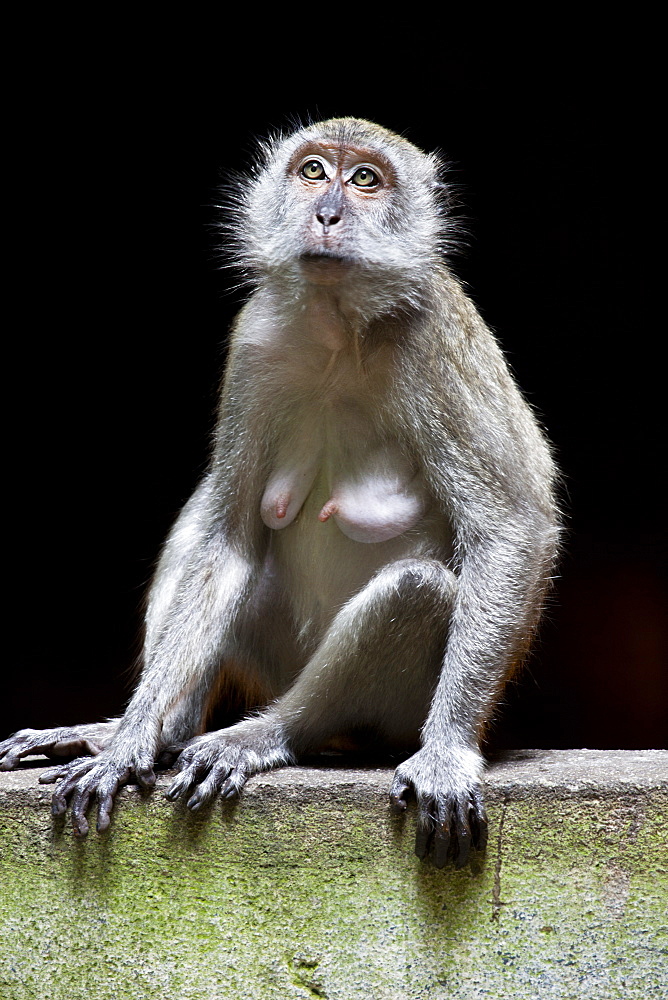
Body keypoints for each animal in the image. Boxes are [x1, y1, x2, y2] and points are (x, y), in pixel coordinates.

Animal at [0, 117, 560, 868]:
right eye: (314, 171)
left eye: (365, 180)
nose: (327, 214)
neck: (338, 326)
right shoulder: (255, 340)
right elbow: (227, 536)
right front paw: (128, 742)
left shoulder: (437, 336)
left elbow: (511, 526)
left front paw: (446, 754)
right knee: (203, 521)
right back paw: (155, 729)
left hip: (389, 711)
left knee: (413, 591)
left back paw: (269, 734)